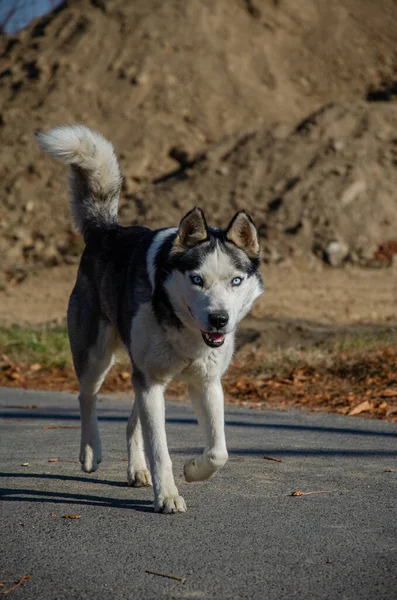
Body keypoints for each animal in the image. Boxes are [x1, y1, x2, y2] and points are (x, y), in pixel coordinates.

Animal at [37, 124, 262, 512]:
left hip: (145, 376)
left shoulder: (205, 383)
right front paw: (168, 495)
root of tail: (108, 231)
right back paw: (90, 452)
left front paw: (193, 470)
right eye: (197, 279)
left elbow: (218, 452)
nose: (219, 319)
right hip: (97, 358)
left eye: (235, 281)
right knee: (86, 397)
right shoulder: (151, 381)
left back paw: (136, 469)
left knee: (133, 422)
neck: (181, 323)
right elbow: (161, 451)